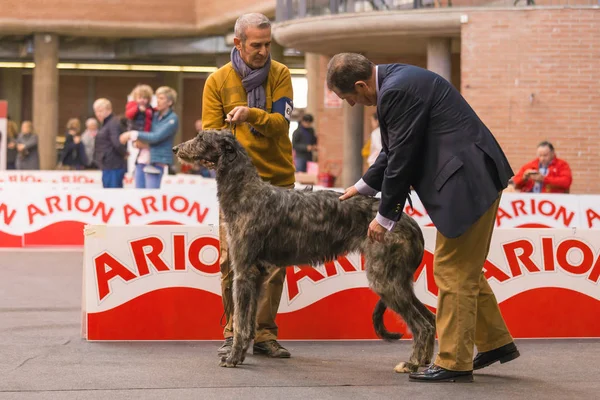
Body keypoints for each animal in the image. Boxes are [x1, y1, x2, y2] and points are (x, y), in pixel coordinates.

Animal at [173, 130, 436, 372]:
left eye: (201, 137)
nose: (176, 148)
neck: (246, 191)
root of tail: (410, 222)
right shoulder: (256, 276)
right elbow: (248, 322)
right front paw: (241, 353)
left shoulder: (244, 272)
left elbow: (240, 323)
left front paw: (233, 357)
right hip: (399, 280)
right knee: (430, 318)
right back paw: (424, 362)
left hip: (384, 278)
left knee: (421, 324)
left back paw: (412, 364)